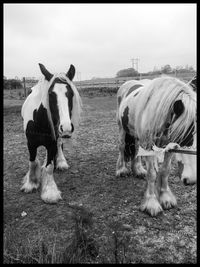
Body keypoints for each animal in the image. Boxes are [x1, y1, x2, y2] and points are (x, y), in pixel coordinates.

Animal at [20, 63, 81, 204]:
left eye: (70, 93)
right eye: (51, 94)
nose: (66, 127)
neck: (39, 120)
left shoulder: (52, 142)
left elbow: (49, 167)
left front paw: (50, 192)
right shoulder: (31, 143)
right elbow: (32, 162)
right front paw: (31, 183)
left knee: (59, 146)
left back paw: (61, 162)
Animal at [116, 76, 196, 218]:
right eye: (182, 135)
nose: (191, 180)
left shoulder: (169, 147)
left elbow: (165, 170)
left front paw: (166, 198)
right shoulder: (149, 147)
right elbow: (152, 173)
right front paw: (151, 203)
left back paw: (138, 170)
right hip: (122, 129)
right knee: (121, 147)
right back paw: (121, 170)